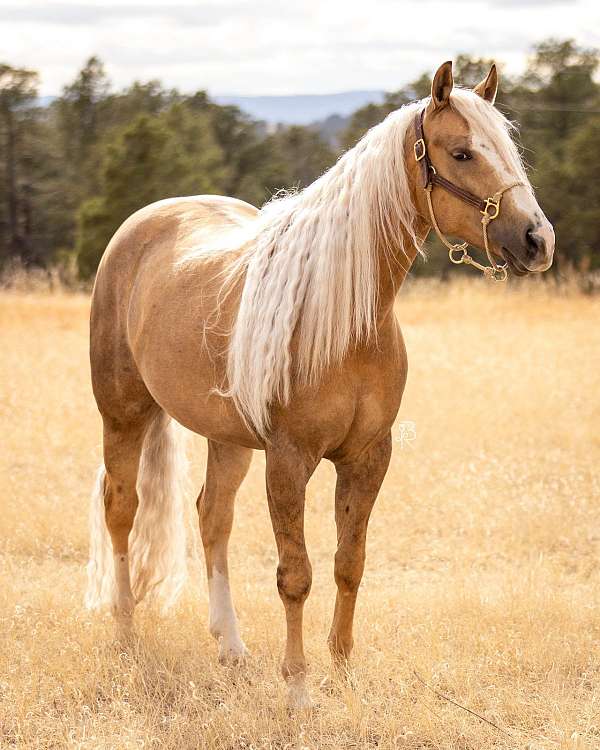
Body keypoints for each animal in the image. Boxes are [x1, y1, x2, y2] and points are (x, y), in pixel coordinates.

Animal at [86, 60, 554, 708]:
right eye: (461, 153)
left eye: (510, 150)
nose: (539, 240)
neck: (342, 318)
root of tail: (142, 224)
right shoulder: (289, 458)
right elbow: (296, 576)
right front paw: (299, 688)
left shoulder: (368, 456)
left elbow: (348, 563)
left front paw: (343, 670)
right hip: (123, 414)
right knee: (122, 509)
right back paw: (127, 632)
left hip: (227, 438)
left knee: (212, 517)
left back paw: (230, 646)